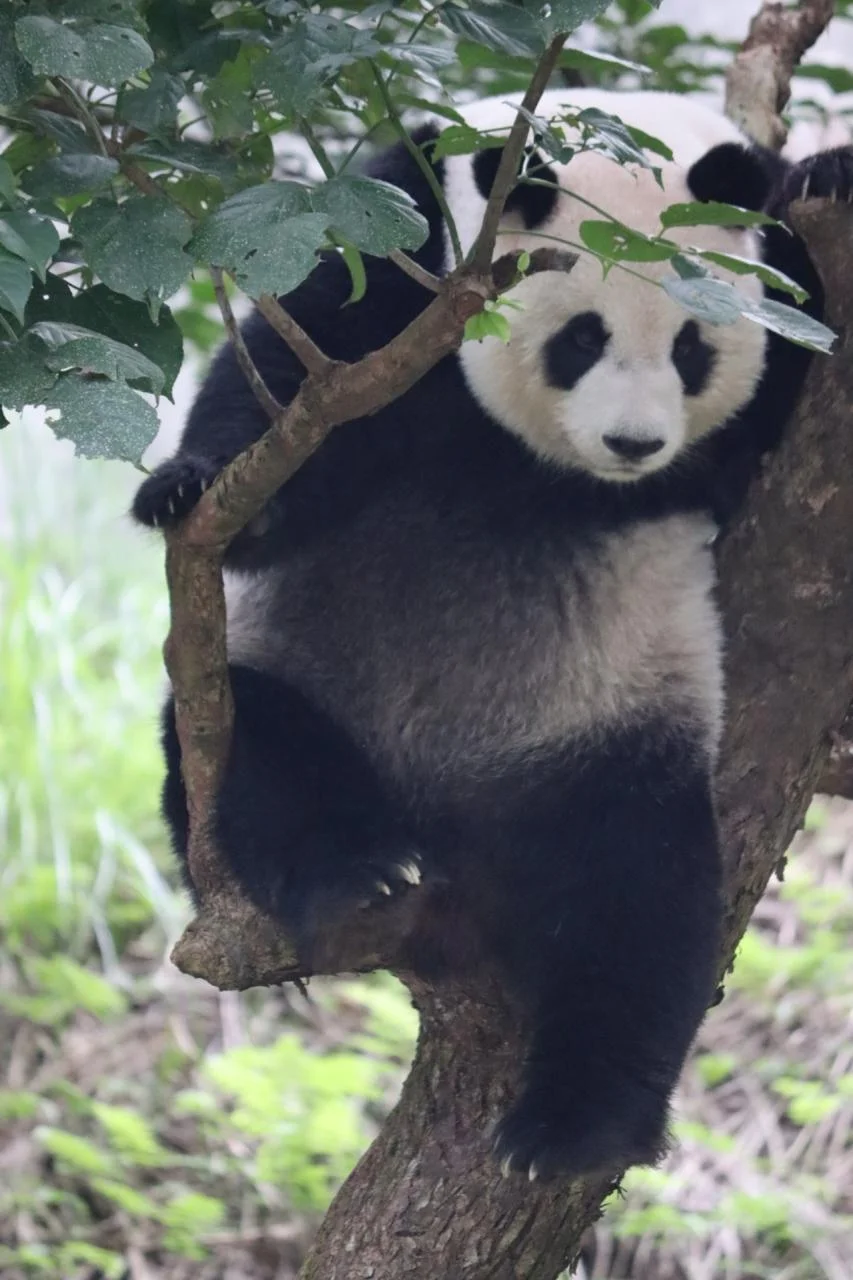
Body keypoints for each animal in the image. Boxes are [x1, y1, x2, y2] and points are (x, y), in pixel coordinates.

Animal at [133, 89, 853, 1181]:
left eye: (692, 348)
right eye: (581, 339)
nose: (634, 444)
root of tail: (450, 827)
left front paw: (836, 173)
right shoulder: (403, 256)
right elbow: (288, 368)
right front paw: (188, 488)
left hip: (601, 730)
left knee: (633, 899)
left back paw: (570, 1127)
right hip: (299, 676)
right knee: (263, 752)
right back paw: (353, 873)